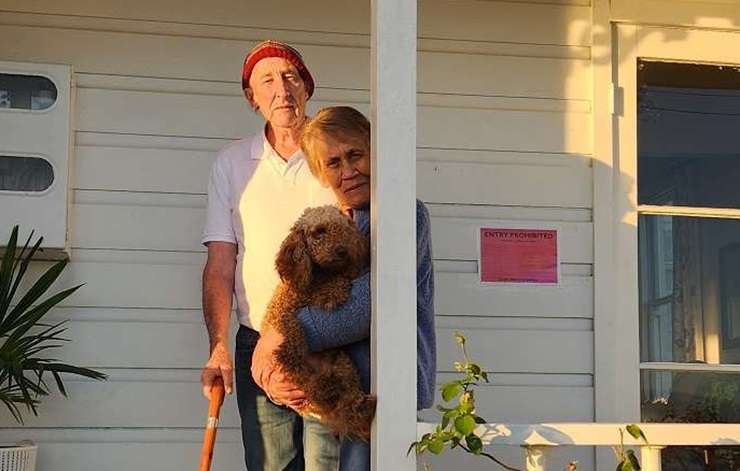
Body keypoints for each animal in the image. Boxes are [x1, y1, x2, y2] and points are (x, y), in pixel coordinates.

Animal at [262, 206, 376, 442]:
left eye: (344, 230)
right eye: (319, 232)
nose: (342, 250)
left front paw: (336, 286)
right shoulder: (284, 309)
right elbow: (294, 325)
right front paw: (334, 290)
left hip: (343, 364)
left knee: (343, 402)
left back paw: (358, 407)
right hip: (302, 376)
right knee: (312, 385)